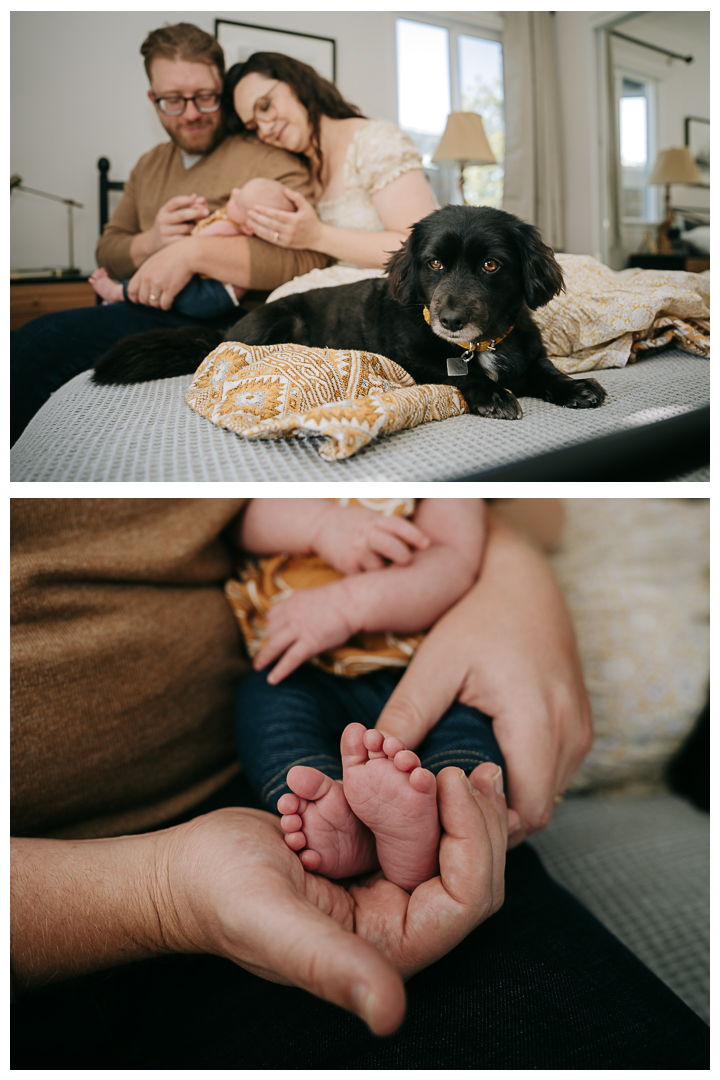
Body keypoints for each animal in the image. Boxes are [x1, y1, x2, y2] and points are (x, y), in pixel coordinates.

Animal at [91, 206, 608, 421]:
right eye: (434, 264)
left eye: (491, 265)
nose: (450, 320)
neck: (475, 345)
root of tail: (223, 331)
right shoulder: (417, 361)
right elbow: (461, 375)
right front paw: (493, 393)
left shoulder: (527, 351)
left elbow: (545, 369)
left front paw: (574, 386)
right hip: (277, 324)